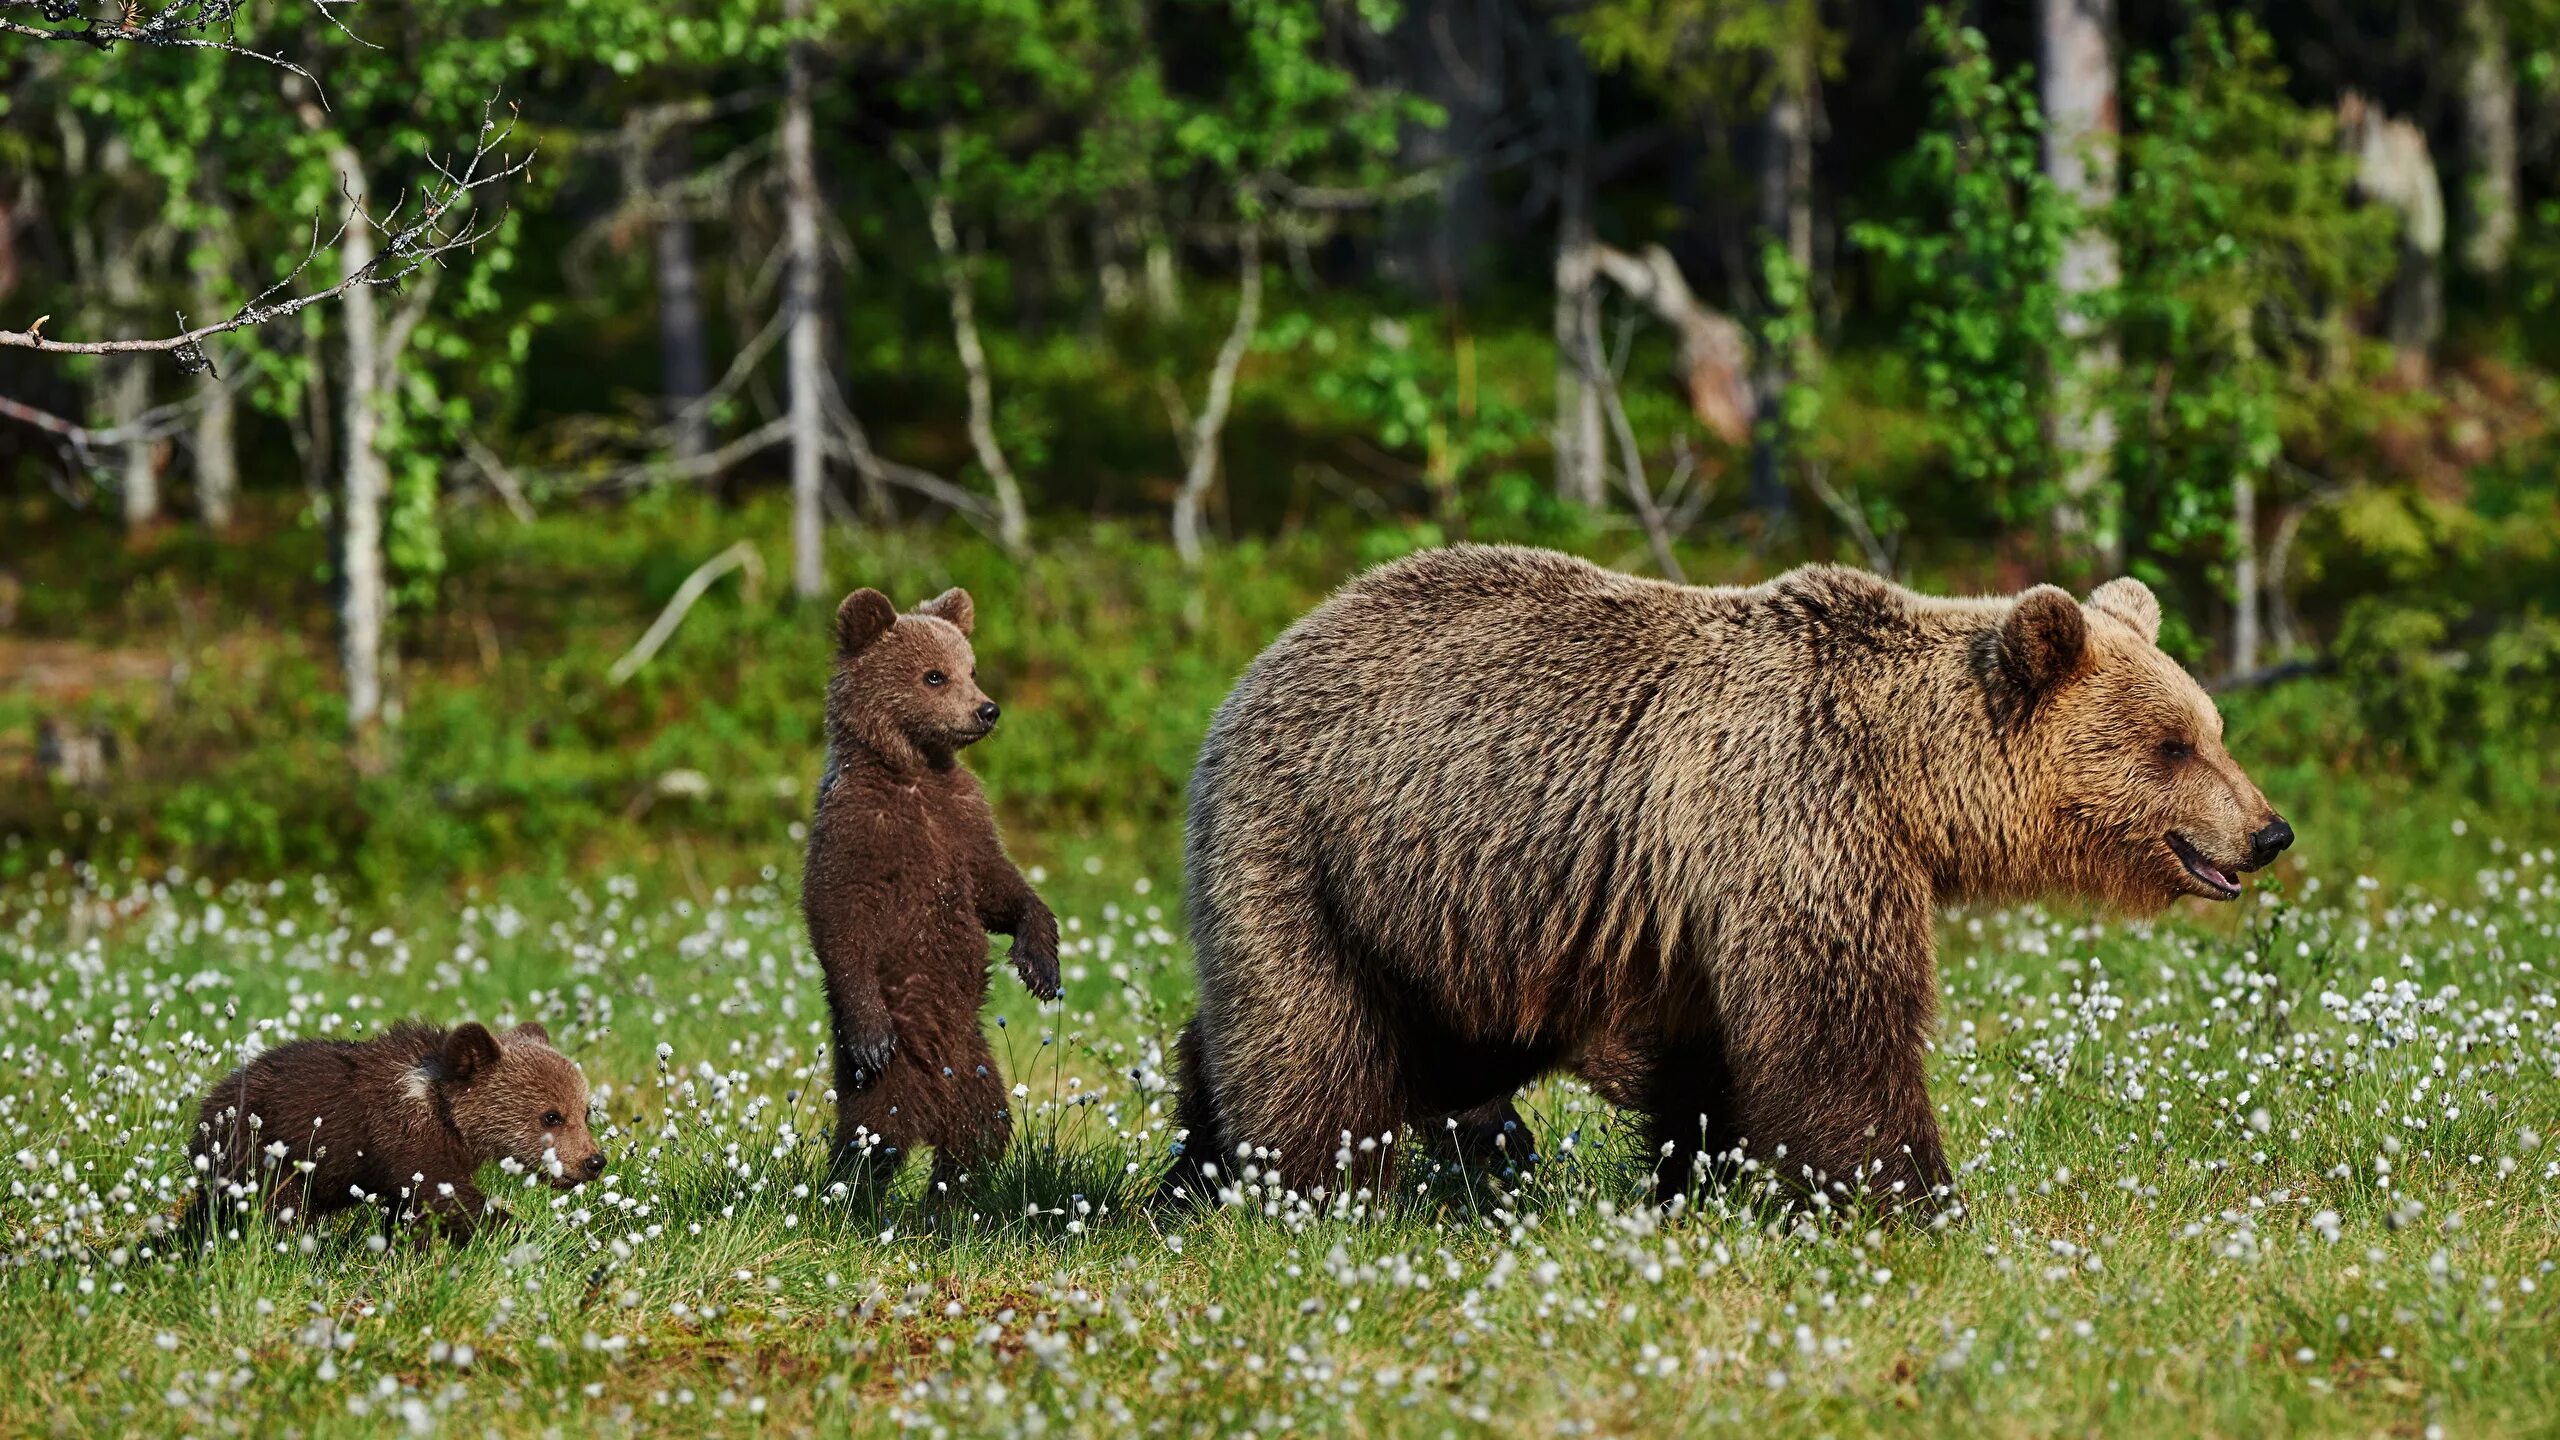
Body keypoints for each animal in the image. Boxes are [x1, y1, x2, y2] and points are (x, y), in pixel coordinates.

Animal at [1172, 543, 2293, 1204]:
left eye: (2213, 728)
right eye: (2172, 746)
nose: (2268, 830)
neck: (1902, 775)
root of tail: (1267, 654)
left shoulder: (1694, 898)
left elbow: (1711, 1053)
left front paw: (1702, 1180)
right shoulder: (1793, 816)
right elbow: (1837, 1028)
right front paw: (1915, 1202)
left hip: (1452, 916)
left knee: (1435, 1047)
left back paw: (1192, 1158)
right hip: (1313, 847)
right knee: (1311, 1037)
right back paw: (1295, 1188)